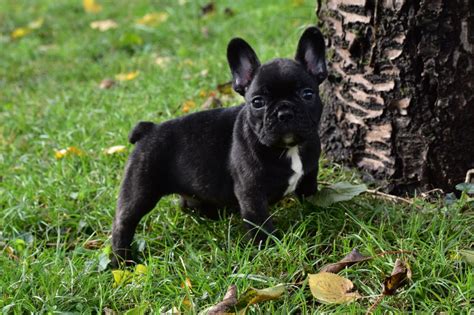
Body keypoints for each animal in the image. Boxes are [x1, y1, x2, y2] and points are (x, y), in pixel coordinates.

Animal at [111, 26, 326, 264]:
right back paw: (122, 260)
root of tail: (148, 129)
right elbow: (260, 223)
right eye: (257, 102)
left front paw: (314, 212)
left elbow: (309, 191)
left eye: (307, 94)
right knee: (124, 222)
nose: (284, 112)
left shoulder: (310, 172)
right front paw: (269, 247)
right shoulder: (251, 193)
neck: (288, 148)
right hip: (140, 188)